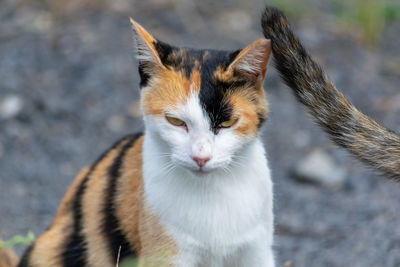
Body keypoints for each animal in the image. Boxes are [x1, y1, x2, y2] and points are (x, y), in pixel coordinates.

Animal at [0, 17, 276, 266]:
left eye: (227, 123)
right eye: (175, 121)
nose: (201, 157)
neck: (213, 193)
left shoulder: (257, 252)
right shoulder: (166, 254)